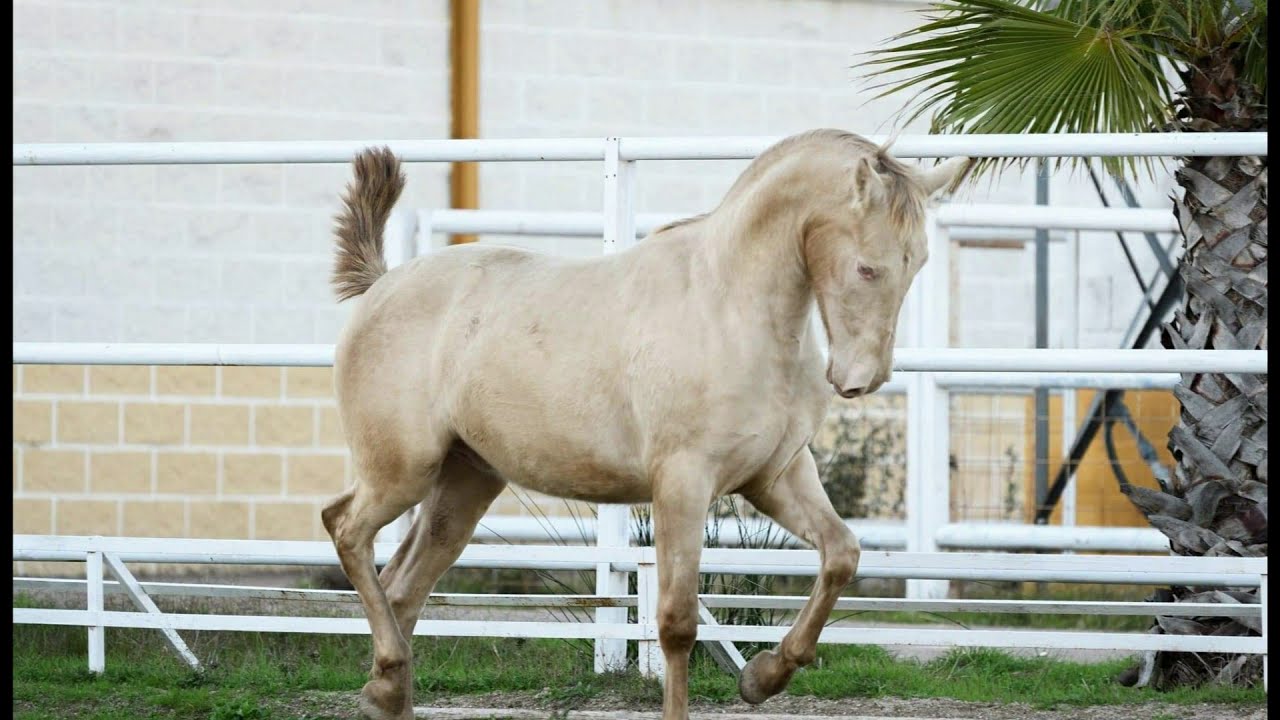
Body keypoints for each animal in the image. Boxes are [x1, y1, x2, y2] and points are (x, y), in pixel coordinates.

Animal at [320, 129, 968, 720]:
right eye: (866, 268)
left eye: (918, 262)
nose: (861, 379)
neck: (729, 310)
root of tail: (380, 287)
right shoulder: (683, 483)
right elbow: (678, 623)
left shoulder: (775, 476)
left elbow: (841, 554)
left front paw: (763, 677)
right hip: (402, 471)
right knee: (346, 529)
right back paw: (385, 676)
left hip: (464, 484)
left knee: (402, 588)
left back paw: (387, 692)